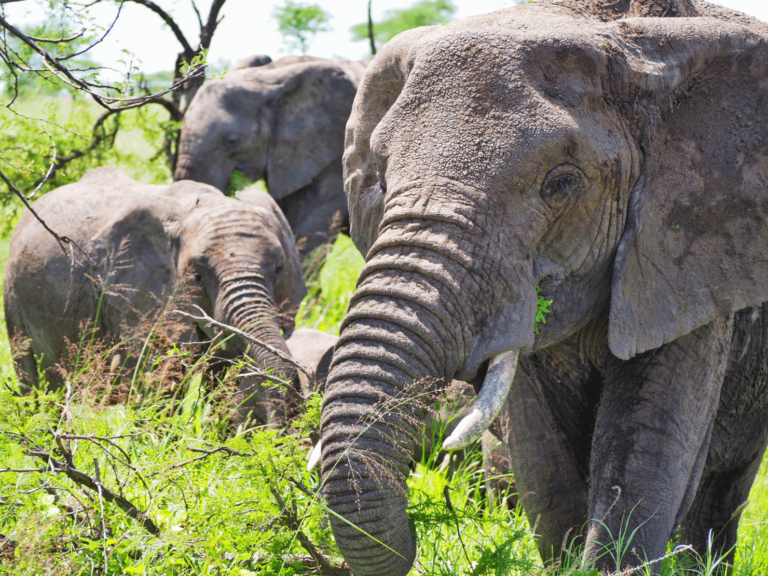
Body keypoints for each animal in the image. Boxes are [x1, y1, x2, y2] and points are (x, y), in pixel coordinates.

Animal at [6, 166, 306, 428]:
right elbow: (158, 383)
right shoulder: (135, 299)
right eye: (196, 276)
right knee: (35, 384)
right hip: (13, 296)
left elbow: (223, 376)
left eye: (279, 267)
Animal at [320, 1, 768, 576]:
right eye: (380, 177)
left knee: (723, 485)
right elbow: (541, 455)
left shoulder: (683, 250)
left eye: (561, 184)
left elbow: (645, 447)